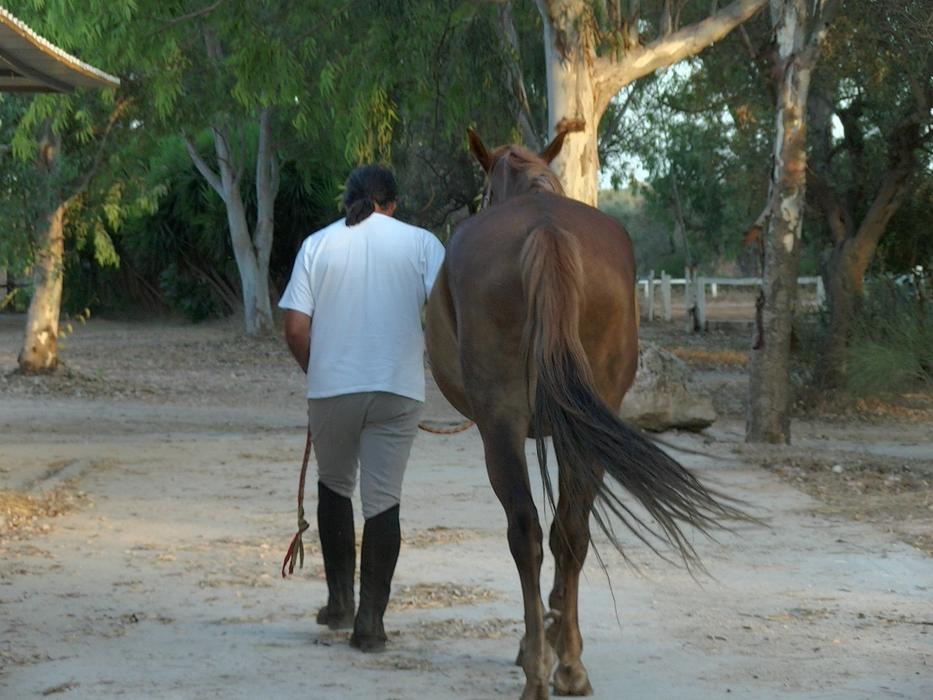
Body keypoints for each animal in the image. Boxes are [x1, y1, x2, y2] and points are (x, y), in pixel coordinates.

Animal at [424, 121, 748, 699]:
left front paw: (542, 638)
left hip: (500, 428)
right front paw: (560, 636)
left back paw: (537, 668)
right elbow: (568, 535)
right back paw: (570, 665)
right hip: (588, 429)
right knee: (569, 533)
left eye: (482, 192)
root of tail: (546, 230)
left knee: (527, 533)